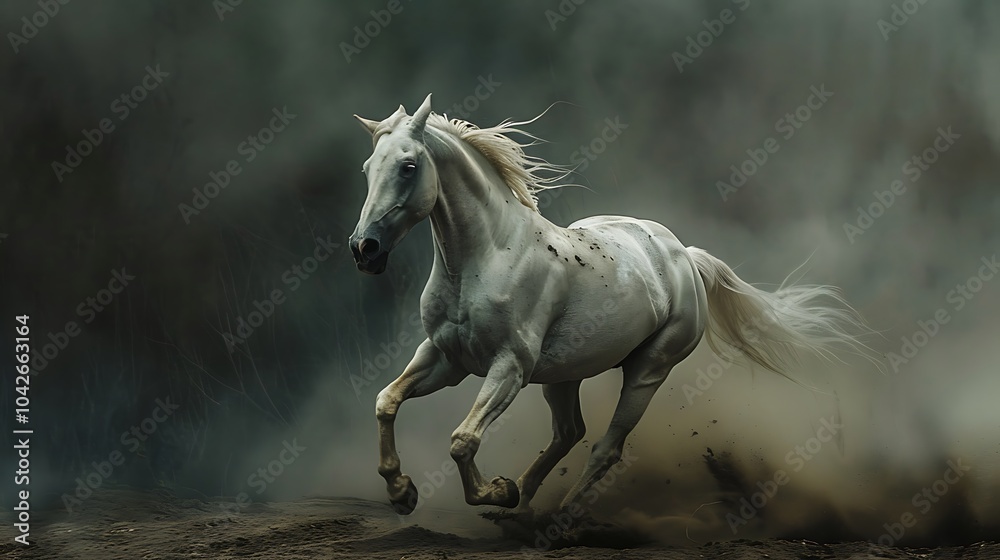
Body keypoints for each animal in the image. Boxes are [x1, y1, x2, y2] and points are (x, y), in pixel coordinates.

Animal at [348, 94, 874, 515]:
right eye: (367, 168)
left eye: (408, 166)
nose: (364, 249)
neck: (488, 256)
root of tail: (685, 257)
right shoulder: (446, 357)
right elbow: (386, 401)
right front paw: (402, 492)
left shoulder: (509, 366)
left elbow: (463, 440)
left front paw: (493, 491)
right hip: (563, 375)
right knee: (569, 432)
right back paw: (521, 503)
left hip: (647, 370)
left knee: (605, 446)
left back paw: (558, 517)